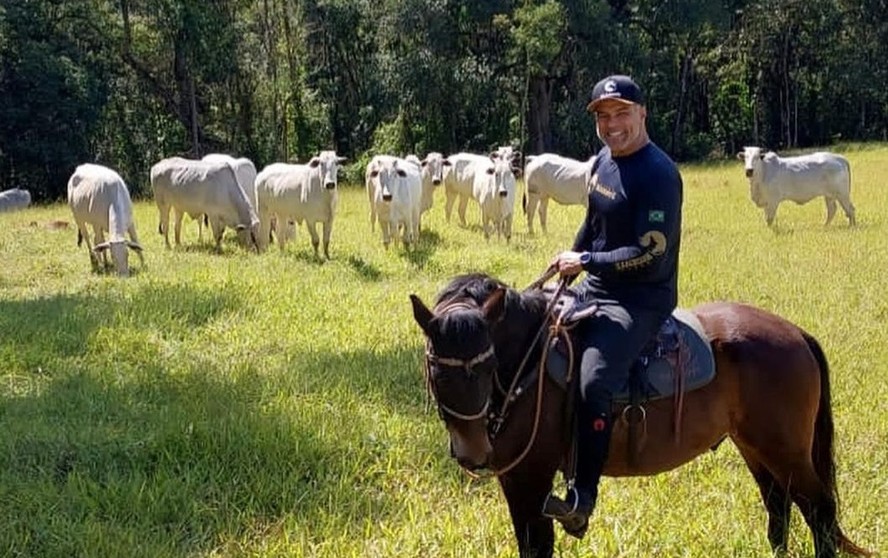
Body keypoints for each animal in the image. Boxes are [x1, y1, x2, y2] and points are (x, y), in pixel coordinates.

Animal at [412, 274, 872, 558]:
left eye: (487, 365)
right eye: (436, 367)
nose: (472, 452)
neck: (530, 360)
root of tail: (796, 333)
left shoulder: (532, 477)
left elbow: (537, 545)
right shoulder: (515, 479)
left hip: (785, 449)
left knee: (820, 510)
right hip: (757, 447)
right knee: (778, 504)